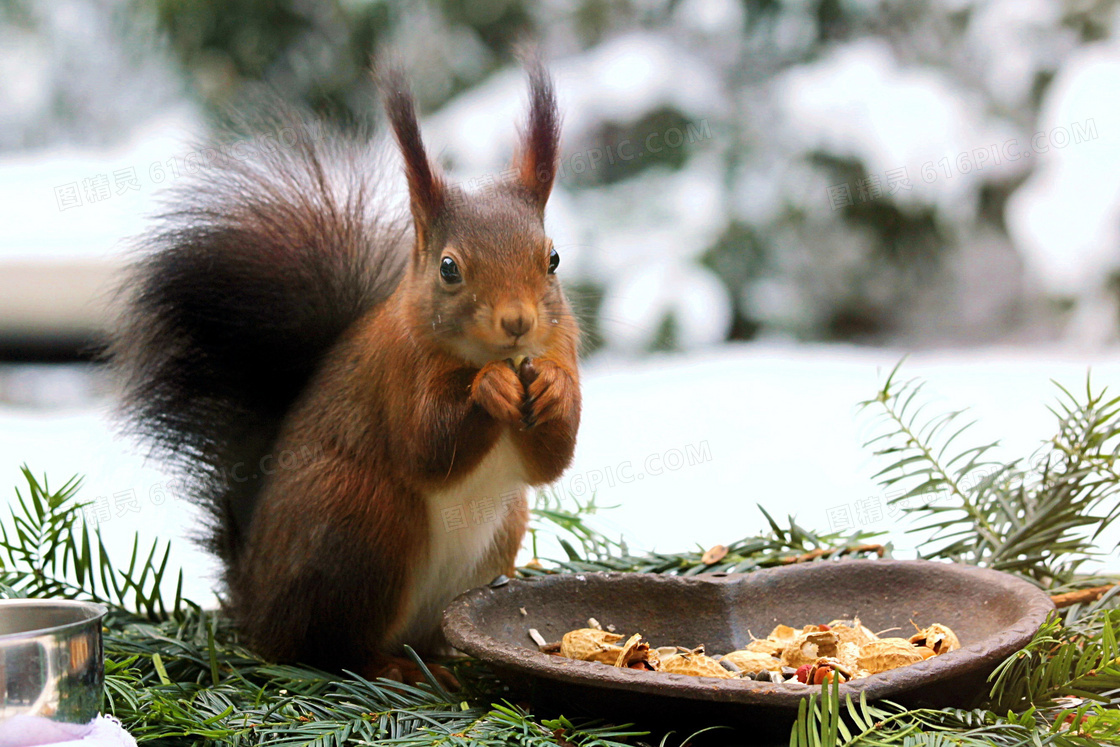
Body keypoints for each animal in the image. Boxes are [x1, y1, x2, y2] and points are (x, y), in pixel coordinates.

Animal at [112, 67, 582, 680]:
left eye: (552, 259)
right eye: (448, 269)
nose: (518, 321)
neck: (479, 355)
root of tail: (254, 602)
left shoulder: (562, 345)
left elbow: (550, 461)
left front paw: (553, 390)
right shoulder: (397, 370)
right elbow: (427, 447)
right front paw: (489, 389)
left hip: (497, 532)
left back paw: (440, 653)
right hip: (361, 520)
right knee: (328, 648)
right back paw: (393, 667)